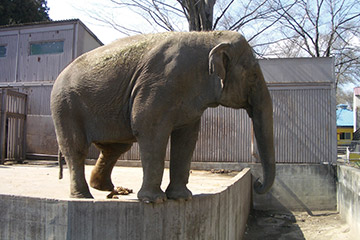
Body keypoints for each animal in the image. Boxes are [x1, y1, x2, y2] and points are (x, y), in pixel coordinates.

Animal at [50, 30, 276, 202]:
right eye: (253, 76)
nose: (257, 183)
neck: (209, 36)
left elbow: (187, 138)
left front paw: (182, 198)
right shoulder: (158, 85)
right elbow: (149, 129)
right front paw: (154, 200)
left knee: (116, 147)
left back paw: (104, 188)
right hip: (65, 106)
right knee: (77, 148)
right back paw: (83, 197)